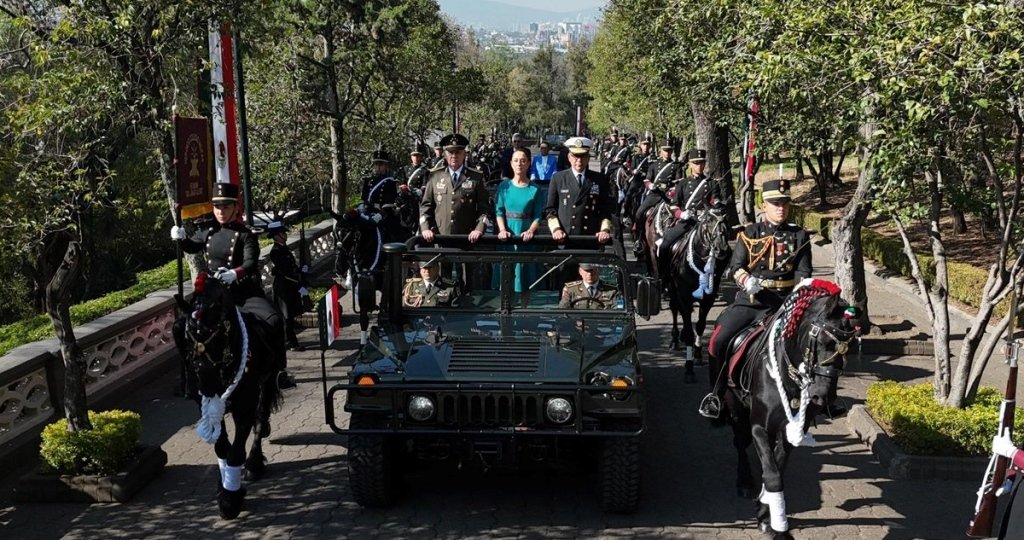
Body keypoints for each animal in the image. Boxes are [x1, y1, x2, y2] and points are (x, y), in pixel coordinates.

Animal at [174, 274, 282, 520]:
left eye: (219, 333)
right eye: (187, 336)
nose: (203, 382)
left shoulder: (244, 405)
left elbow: (236, 451)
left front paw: (230, 500)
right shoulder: (209, 406)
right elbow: (222, 448)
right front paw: (224, 487)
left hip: (269, 380)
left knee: (260, 418)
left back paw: (254, 463)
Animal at [704, 280, 856, 536]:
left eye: (849, 349)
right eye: (823, 343)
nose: (822, 397)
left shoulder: (792, 429)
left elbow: (777, 467)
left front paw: (766, 511)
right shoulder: (759, 427)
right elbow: (773, 474)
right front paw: (774, 522)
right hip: (735, 406)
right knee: (740, 442)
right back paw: (744, 481)